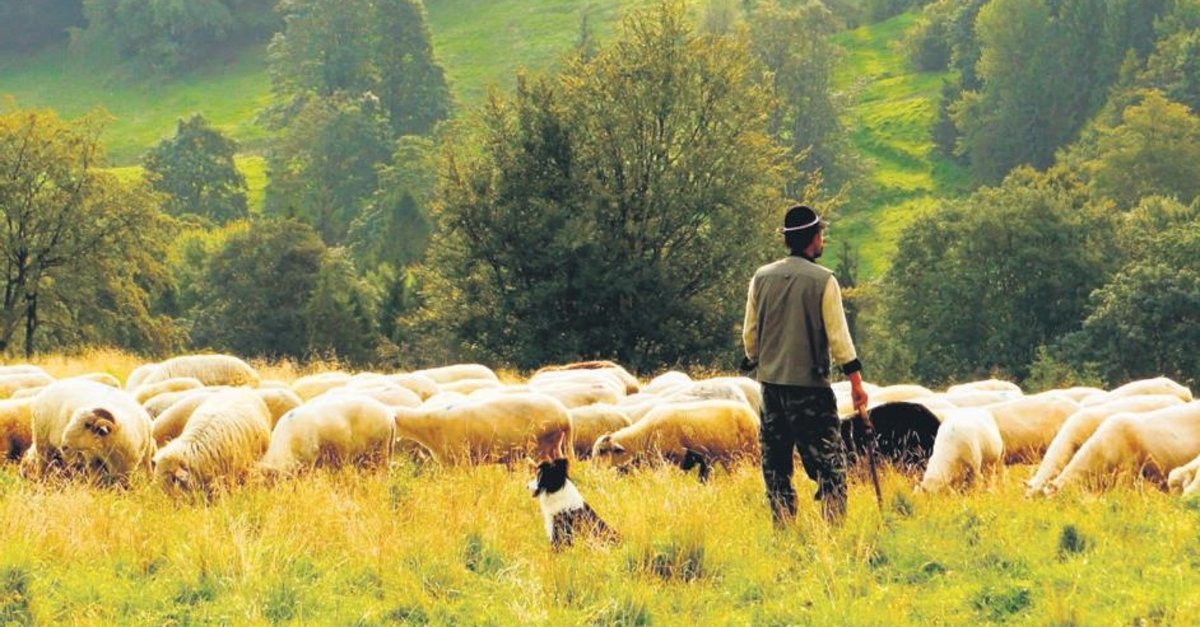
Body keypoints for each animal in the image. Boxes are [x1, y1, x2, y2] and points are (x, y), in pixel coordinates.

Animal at [25, 374, 153, 482]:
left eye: (87, 425)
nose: (64, 445)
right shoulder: (92, 459)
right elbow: (94, 481)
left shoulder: (127, 467)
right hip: (42, 443)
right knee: (43, 466)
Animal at [590, 398, 758, 480]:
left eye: (602, 451)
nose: (594, 472)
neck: (643, 436)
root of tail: (752, 415)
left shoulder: (677, 457)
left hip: (749, 452)